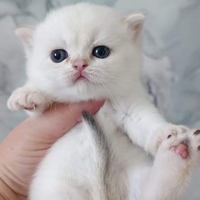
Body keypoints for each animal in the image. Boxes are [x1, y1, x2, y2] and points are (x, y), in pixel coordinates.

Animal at [7, 3, 200, 200]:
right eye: (57, 55)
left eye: (101, 52)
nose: (79, 64)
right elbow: (39, 99)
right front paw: (27, 93)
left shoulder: (129, 106)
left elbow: (146, 120)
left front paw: (165, 131)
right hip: (60, 192)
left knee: (152, 192)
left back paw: (179, 153)